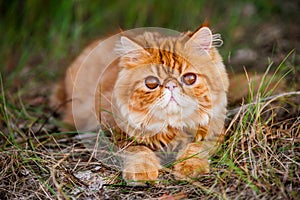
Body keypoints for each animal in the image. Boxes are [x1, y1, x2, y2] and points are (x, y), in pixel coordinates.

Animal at [51, 25, 230, 184]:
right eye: (151, 83)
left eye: (190, 78)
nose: (171, 86)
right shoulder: (114, 133)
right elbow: (139, 150)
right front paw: (141, 171)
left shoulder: (213, 131)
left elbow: (195, 147)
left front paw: (189, 167)